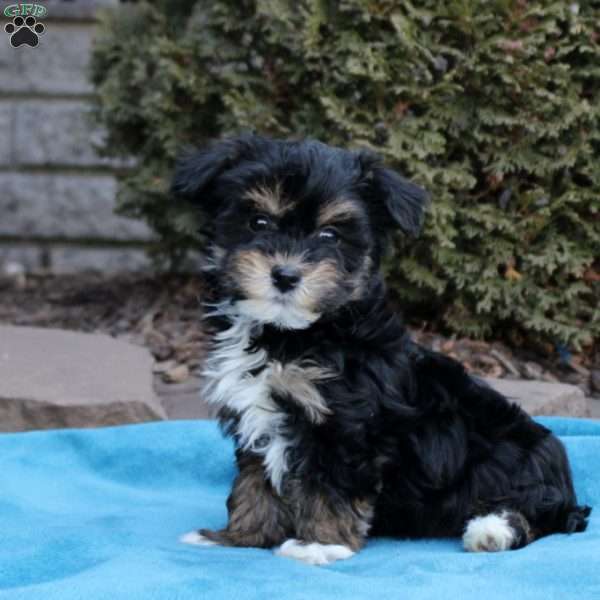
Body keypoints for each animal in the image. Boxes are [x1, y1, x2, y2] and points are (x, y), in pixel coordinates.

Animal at [173, 134, 592, 564]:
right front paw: (239, 537)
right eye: (258, 222)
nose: (286, 275)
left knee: (541, 515)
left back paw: (492, 529)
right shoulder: (256, 413)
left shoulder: (345, 423)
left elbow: (330, 486)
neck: (293, 334)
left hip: (516, 458)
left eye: (330, 235)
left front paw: (319, 545)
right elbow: (254, 482)